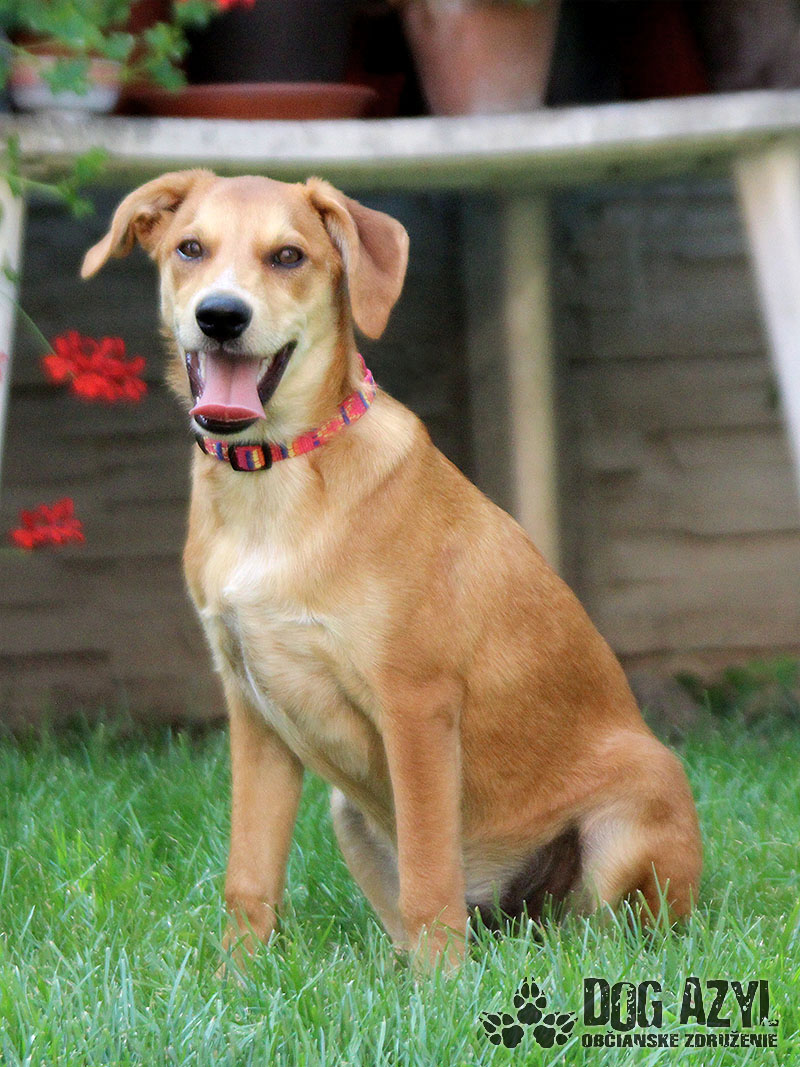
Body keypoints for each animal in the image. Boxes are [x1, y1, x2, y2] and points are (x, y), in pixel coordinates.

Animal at [82, 171, 702, 969]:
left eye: (289, 255)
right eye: (190, 248)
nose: (220, 316)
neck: (276, 480)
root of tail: (518, 918)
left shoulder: (417, 705)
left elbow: (430, 874)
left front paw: (445, 987)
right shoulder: (254, 712)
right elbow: (249, 875)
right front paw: (236, 979)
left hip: (636, 811)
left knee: (614, 934)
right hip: (349, 814)